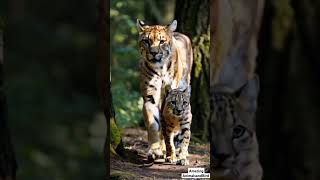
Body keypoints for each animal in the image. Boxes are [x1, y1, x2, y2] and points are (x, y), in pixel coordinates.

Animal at [136, 19, 192, 160]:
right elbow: (153, 124)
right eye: (146, 41)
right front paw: (155, 150)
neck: (160, 69)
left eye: (162, 41)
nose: (154, 53)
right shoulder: (150, 97)